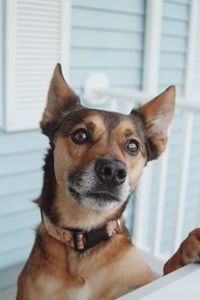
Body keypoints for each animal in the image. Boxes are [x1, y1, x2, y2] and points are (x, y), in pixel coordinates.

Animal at [16, 63, 200, 300]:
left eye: (133, 146)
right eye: (80, 135)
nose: (113, 172)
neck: (84, 239)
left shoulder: (143, 282)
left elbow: (168, 269)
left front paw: (188, 246)